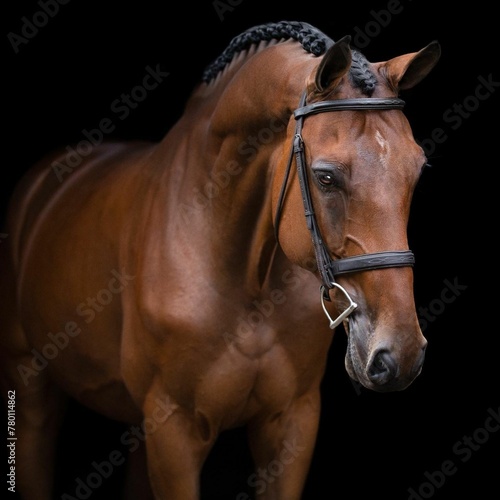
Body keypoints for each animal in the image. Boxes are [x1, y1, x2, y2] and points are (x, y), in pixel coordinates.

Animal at [0, 20, 440, 500]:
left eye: (417, 170)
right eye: (325, 177)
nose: (400, 353)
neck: (246, 281)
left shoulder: (293, 420)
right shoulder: (174, 431)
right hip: (31, 390)